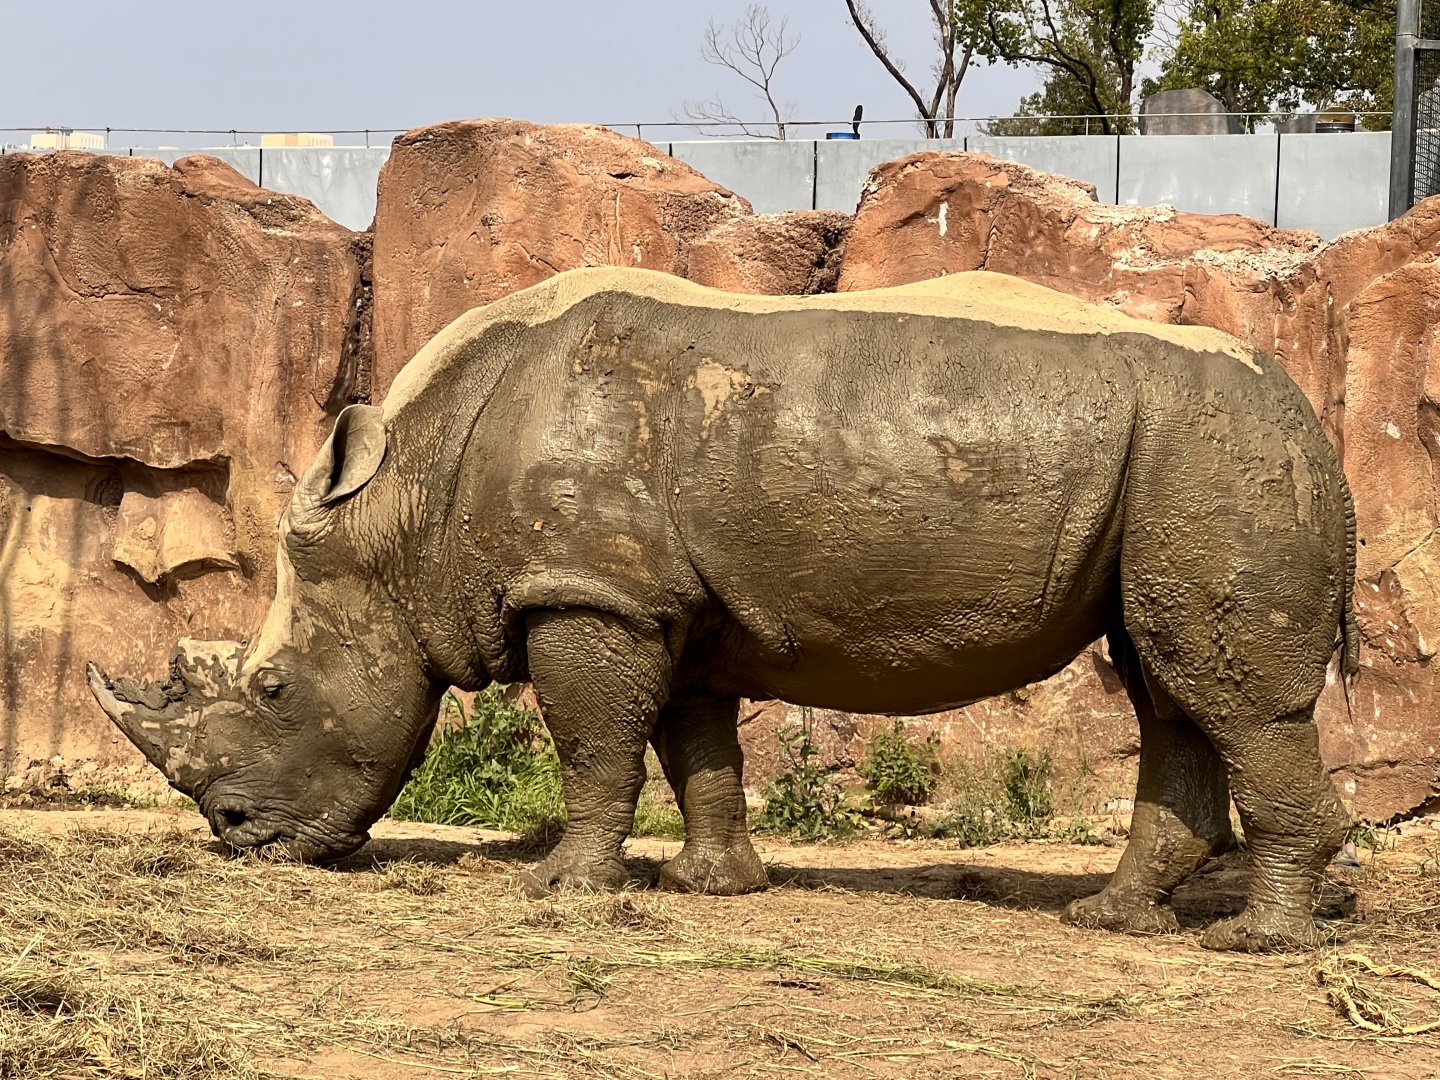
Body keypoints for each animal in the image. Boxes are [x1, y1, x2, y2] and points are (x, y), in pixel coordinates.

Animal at [90, 266, 1357, 952]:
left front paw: (561, 891)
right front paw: (714, 887)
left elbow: (594, 745)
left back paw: (1254, 943)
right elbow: (692, 744)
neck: (403, 507)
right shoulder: (661, 602)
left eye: (272, 689)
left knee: (1225, 694)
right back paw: (1109, 920)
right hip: (1186, 460)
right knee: (1166, 680)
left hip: (1218, 450)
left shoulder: (590, 592)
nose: (238, 840)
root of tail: (1315, 418)